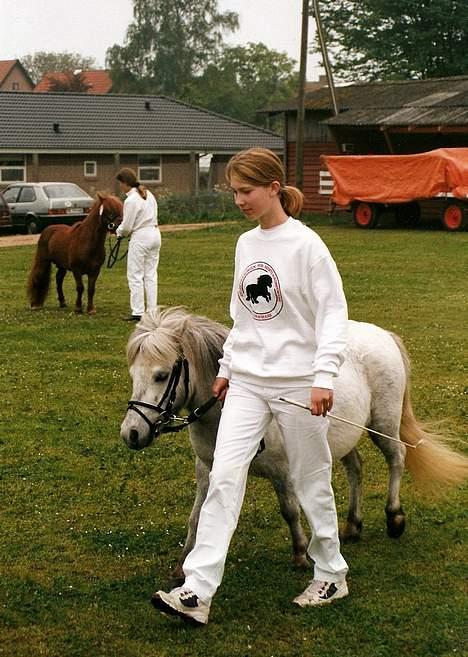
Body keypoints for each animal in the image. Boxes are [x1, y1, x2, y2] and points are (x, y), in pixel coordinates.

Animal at [120, 308, 468, 580]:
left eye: (161, 375)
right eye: (133, 373)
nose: (131, 434)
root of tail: (382, 334)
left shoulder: (281, 471)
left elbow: (289, 510)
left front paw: (301, 553)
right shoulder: (207, 468)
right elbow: (197, 515)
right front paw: (184, 564)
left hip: (383, 424)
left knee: (397, 458)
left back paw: (394, 517)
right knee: (356, 468)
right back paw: (352, 525)